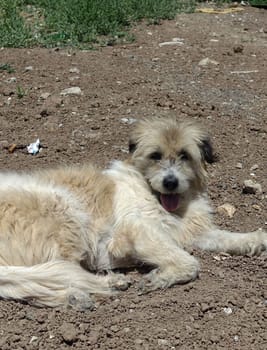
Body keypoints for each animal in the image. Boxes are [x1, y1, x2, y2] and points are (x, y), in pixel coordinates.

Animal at [0, 118, 266, 308]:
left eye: (184, 155)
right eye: (155, 155)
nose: (170, 182)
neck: (160, 199)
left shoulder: (192, 232)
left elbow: (226, 237)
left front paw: (257, 238)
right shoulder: (136, 229)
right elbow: (190, 262)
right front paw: (158, 278)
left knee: (34, 282)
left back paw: (77, 296)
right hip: (64, 212)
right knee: (58, 271)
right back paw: (102, 285)